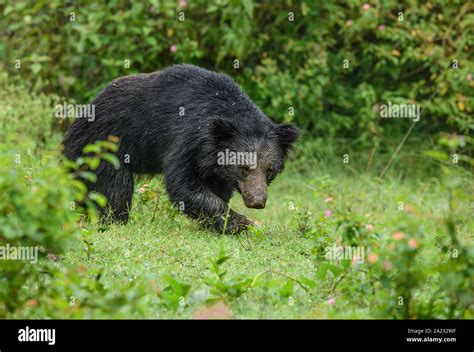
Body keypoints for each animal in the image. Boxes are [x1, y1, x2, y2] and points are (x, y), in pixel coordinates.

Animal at [63, 64, 300, 232]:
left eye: (270, 170)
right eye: (243, 167)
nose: (257, 201)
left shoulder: (213, 162)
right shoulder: (185, 137)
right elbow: (182, 183)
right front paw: (241, 222)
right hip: (104, 148)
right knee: (114, 188)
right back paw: (114, 219)